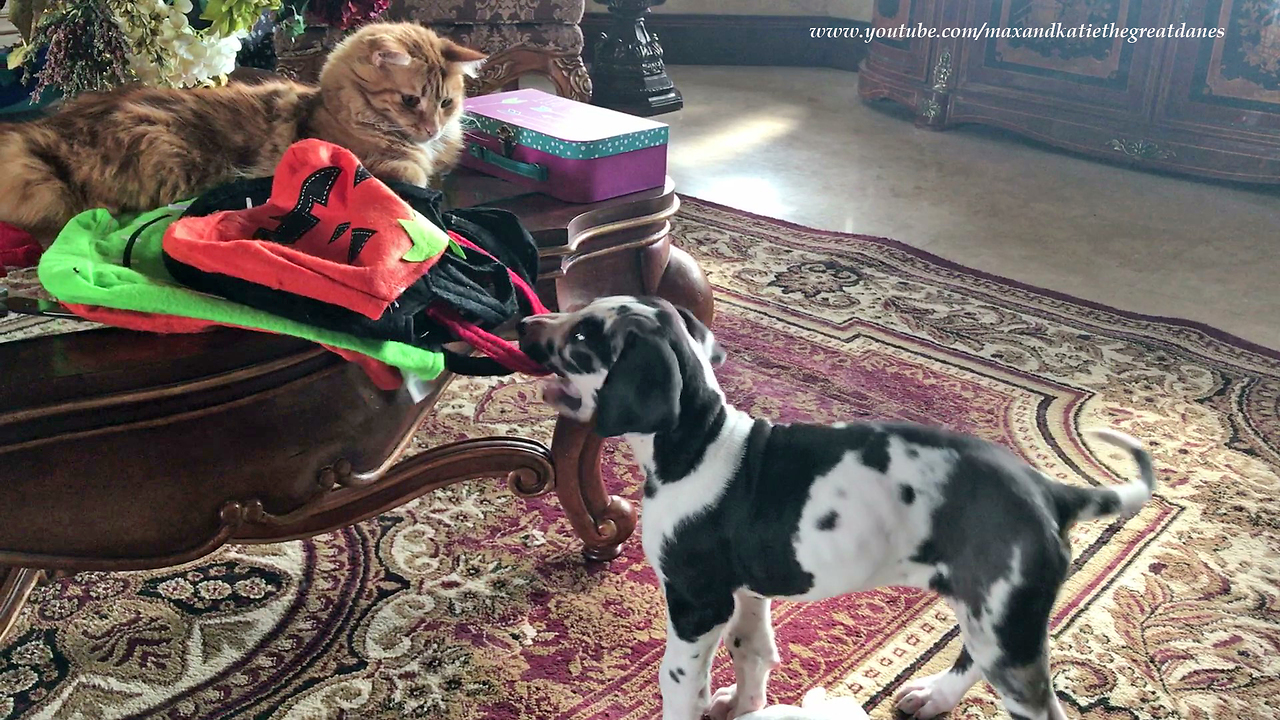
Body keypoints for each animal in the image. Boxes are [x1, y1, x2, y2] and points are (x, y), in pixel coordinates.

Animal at [0, 21, 483, 243]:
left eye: (446, 103)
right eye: (410, 101)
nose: (431, 128)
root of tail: (47, 129)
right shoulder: (385, 165)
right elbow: (412, 181)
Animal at [514, 295, 1157, 717]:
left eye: (581, 339)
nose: (523, 321)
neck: (695, 444)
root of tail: (1052, 491)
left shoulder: (697, 604)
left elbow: (678, 687)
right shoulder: (748, 592)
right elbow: (753, 654)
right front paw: (746, 708)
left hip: (1005, 624)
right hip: (991, 614)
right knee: (972, 657)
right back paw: (933, 696)